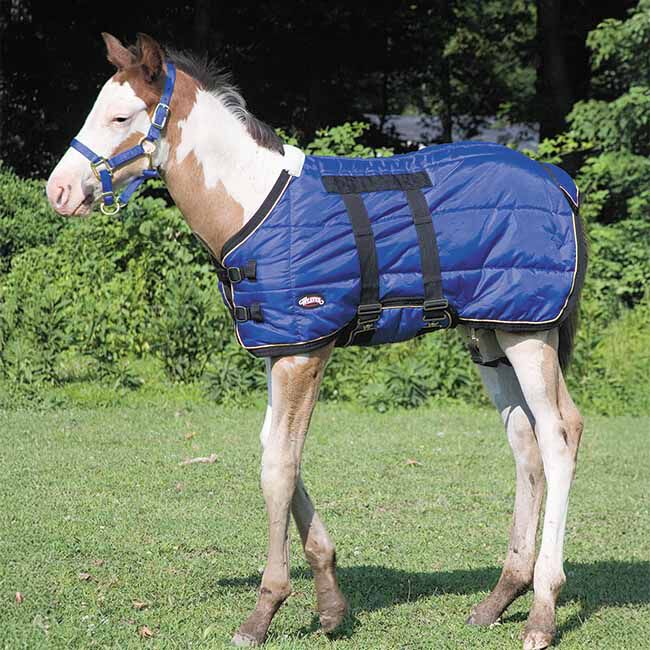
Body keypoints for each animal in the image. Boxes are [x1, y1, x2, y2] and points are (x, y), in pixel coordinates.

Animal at [46, 33, 586, 650]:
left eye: (121, 116)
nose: (58, 190)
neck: (254, 201)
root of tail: (556, 179)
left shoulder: (304, 352)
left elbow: (279, 467)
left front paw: (264, 611)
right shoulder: (280, 349)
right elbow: (277, 451)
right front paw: (330, 605)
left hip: (529, 334)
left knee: (559, 435)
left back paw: (542, 610)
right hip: (490, 337)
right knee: (524, 443)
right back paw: (498, 599)